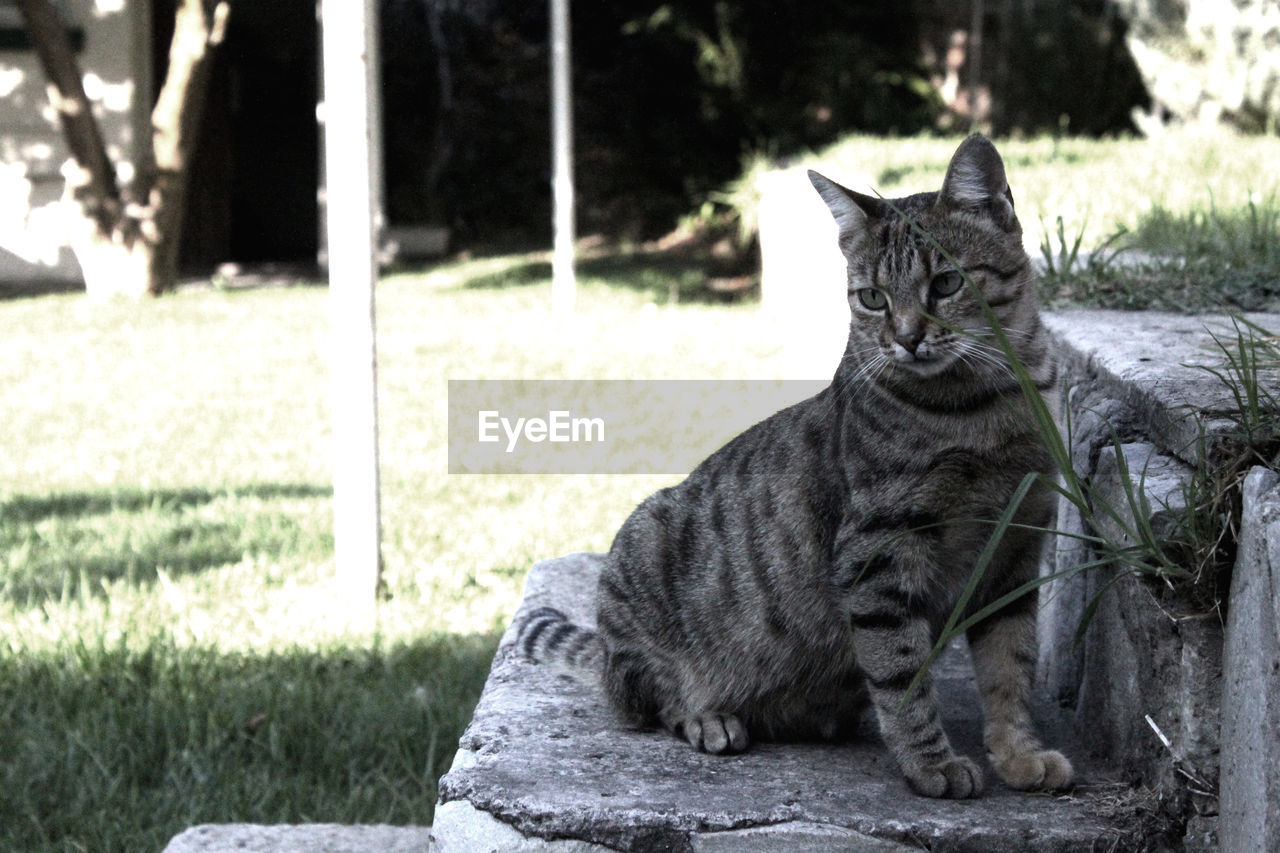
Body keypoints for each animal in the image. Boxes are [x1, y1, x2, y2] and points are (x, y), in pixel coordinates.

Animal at [517, 136, 1070, 794]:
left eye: (946, 283)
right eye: (872, 298)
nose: (907, 339)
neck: (989, 408)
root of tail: (602, 653)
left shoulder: (1017, 550)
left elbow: (1011, 667)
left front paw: (1018, 755)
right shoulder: (878, 554)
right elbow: (902, 674)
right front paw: (931, 765)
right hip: (642, 550)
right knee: (650, 700)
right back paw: (708, 717)